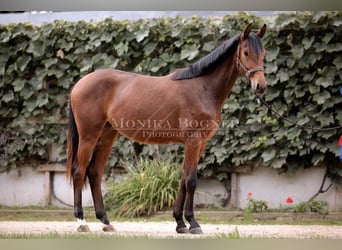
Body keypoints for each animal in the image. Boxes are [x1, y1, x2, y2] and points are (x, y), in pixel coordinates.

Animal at [66, 23, 268, 234]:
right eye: (246, 52)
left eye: (264, 53)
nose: (260, 86)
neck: (203, 88)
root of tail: (79, 84)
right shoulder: (193, 141)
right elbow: (191, 180)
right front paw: (193, 223)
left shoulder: (200, 144)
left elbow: (183, 179)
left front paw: (180, 223)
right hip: (89, 136)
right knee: (79, 172)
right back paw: (81, 221)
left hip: (107, 136)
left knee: (94, 172)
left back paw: (105, 221)